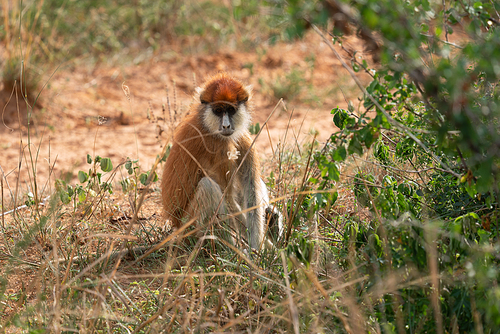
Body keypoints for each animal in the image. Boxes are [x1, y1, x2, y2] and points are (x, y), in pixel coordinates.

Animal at [162, 73, 284, 250]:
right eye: (218, 111)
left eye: (231, 110)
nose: (226, 126)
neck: (207, 125)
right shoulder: (218, 147)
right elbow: (228, 199)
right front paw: (260, 251)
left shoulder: (242, 138)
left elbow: (251, 189)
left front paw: (262, 247)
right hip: (188, 228)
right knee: (208, 187)